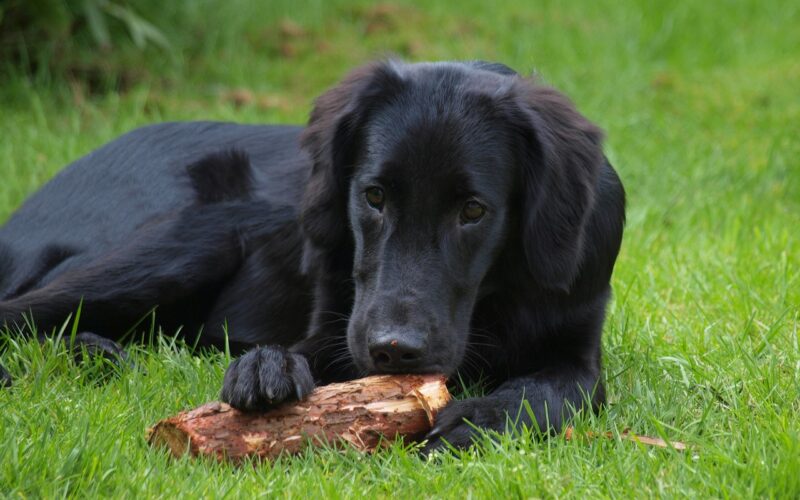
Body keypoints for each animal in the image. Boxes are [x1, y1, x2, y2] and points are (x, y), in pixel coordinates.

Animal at [0, 60, 624, 448]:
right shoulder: (334, 325)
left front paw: (479, 416)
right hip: (187, 243)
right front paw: (266, 366)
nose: (394, 351)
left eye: (473, 210)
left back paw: (96, 354)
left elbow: (545, 392)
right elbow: (303, 350)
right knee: (23, 313)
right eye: (374, 196)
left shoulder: (578, 351)